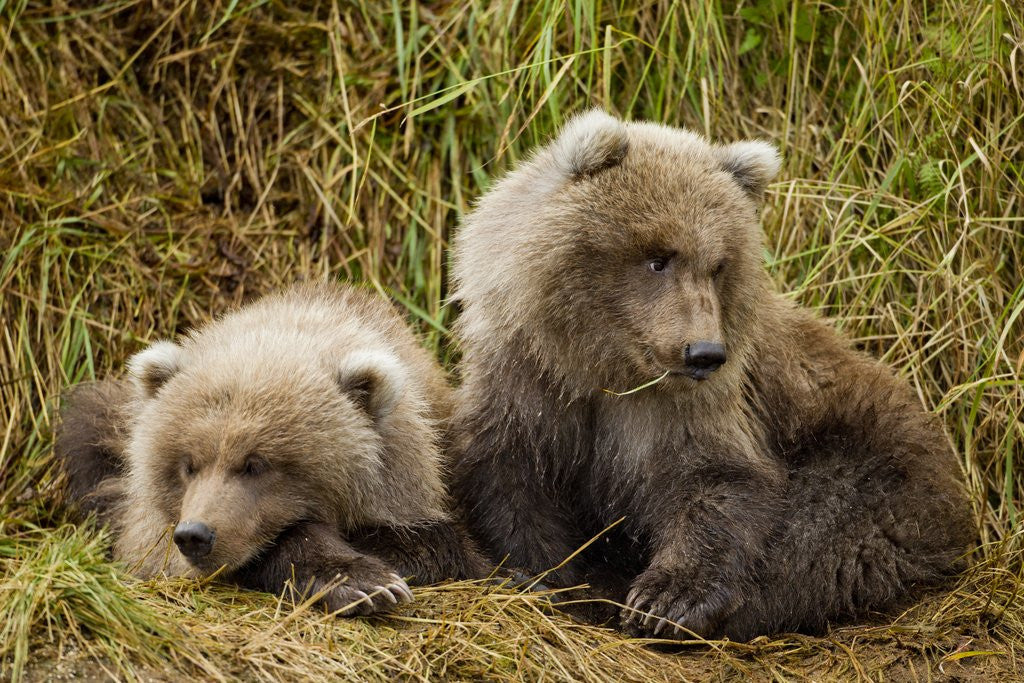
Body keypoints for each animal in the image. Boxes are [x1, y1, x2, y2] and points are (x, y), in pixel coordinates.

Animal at [448, 110, 974, 640]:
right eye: (657, 258)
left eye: (718, 266)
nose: (704, 352)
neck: (604, 366)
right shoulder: (527, 381)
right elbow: (511, 478)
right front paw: (546, 576)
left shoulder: (695, 405)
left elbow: (715, 480)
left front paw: (665, 600)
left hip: (875, 455)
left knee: (825, 531)